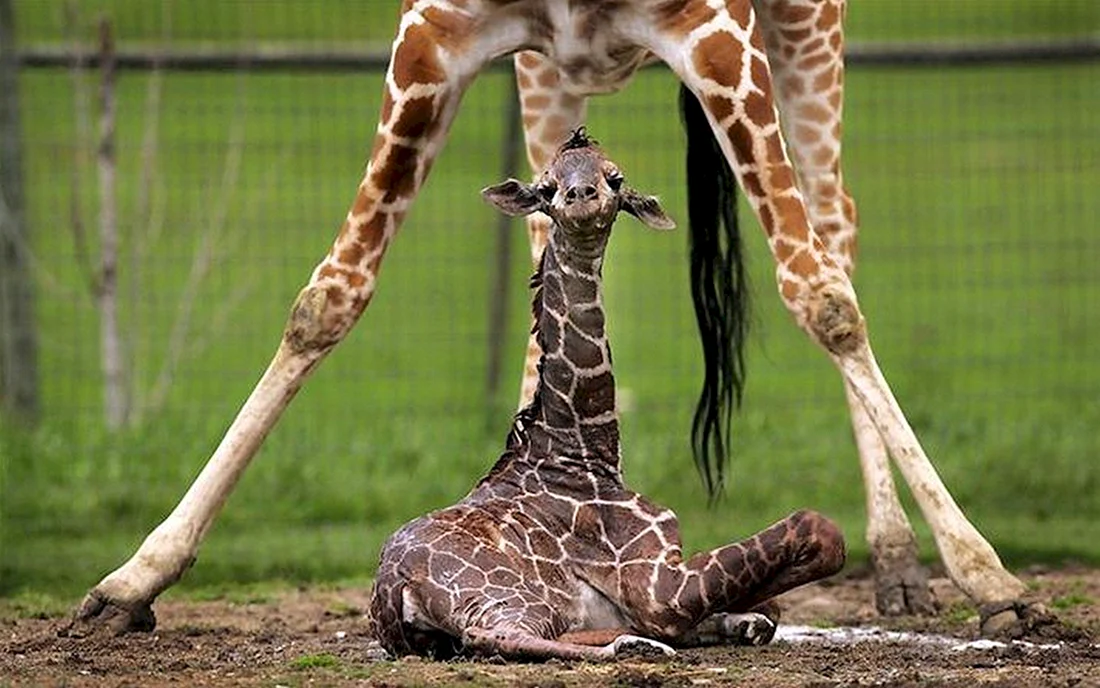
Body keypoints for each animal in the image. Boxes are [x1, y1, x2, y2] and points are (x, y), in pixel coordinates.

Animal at [369, 129, 846, 661]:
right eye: (547, 187)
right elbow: (818, 529)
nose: (581, 197)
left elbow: (772, 606)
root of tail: (393, 588)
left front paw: (737, 622)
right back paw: (633, 645)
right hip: (508, 597)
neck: (583, 454)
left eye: (614, 178)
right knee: (494, 634)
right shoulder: (657, 584)